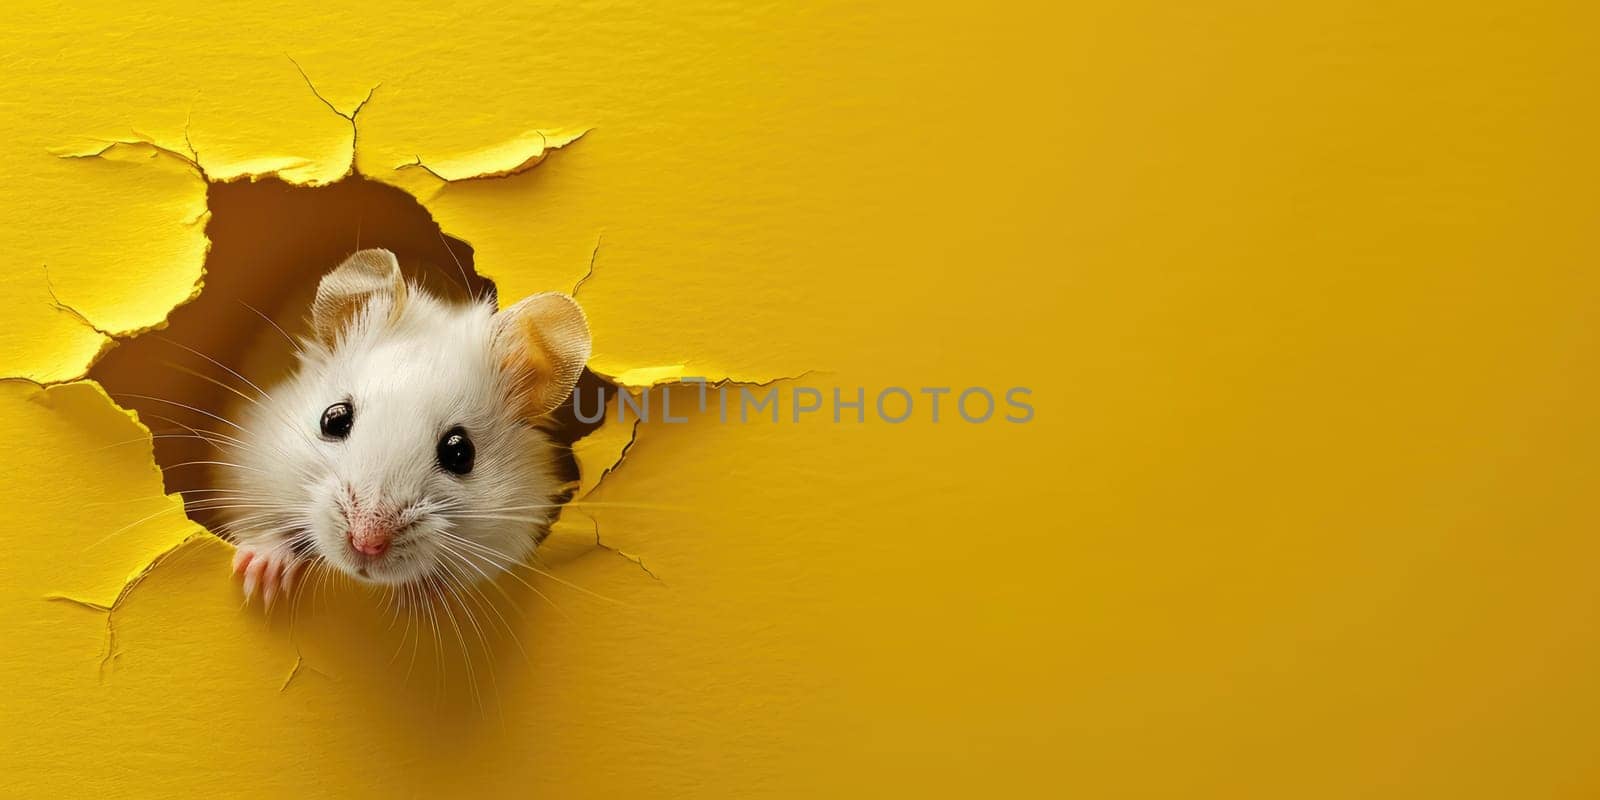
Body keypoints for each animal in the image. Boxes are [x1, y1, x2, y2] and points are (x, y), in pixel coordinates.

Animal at [214, 249, 588, 604]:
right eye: (334, 418)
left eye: (460, 453)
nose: (366, 542)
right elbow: (264, 527)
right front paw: (259, 579)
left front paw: (420, 594)